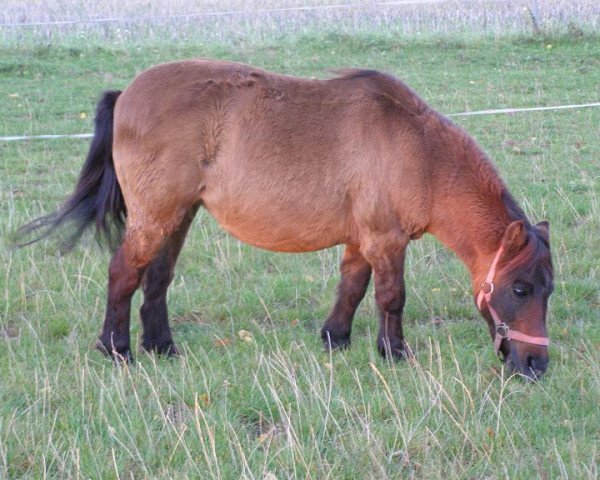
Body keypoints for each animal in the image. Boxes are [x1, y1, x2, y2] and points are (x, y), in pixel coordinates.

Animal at [16, 58, 556, 378]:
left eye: (548, 290)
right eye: (521, 288)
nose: (535, 364)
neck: (416, 150)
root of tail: (126, 92)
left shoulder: (361, 240)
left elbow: (351, 288)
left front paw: (336, 339)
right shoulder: (386, 241)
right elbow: (391, 297)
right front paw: (394, 352)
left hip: (178, 216)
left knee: (157, 279)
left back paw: (161, 346)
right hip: (156, 217)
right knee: (123, 272)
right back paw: (117, 348)